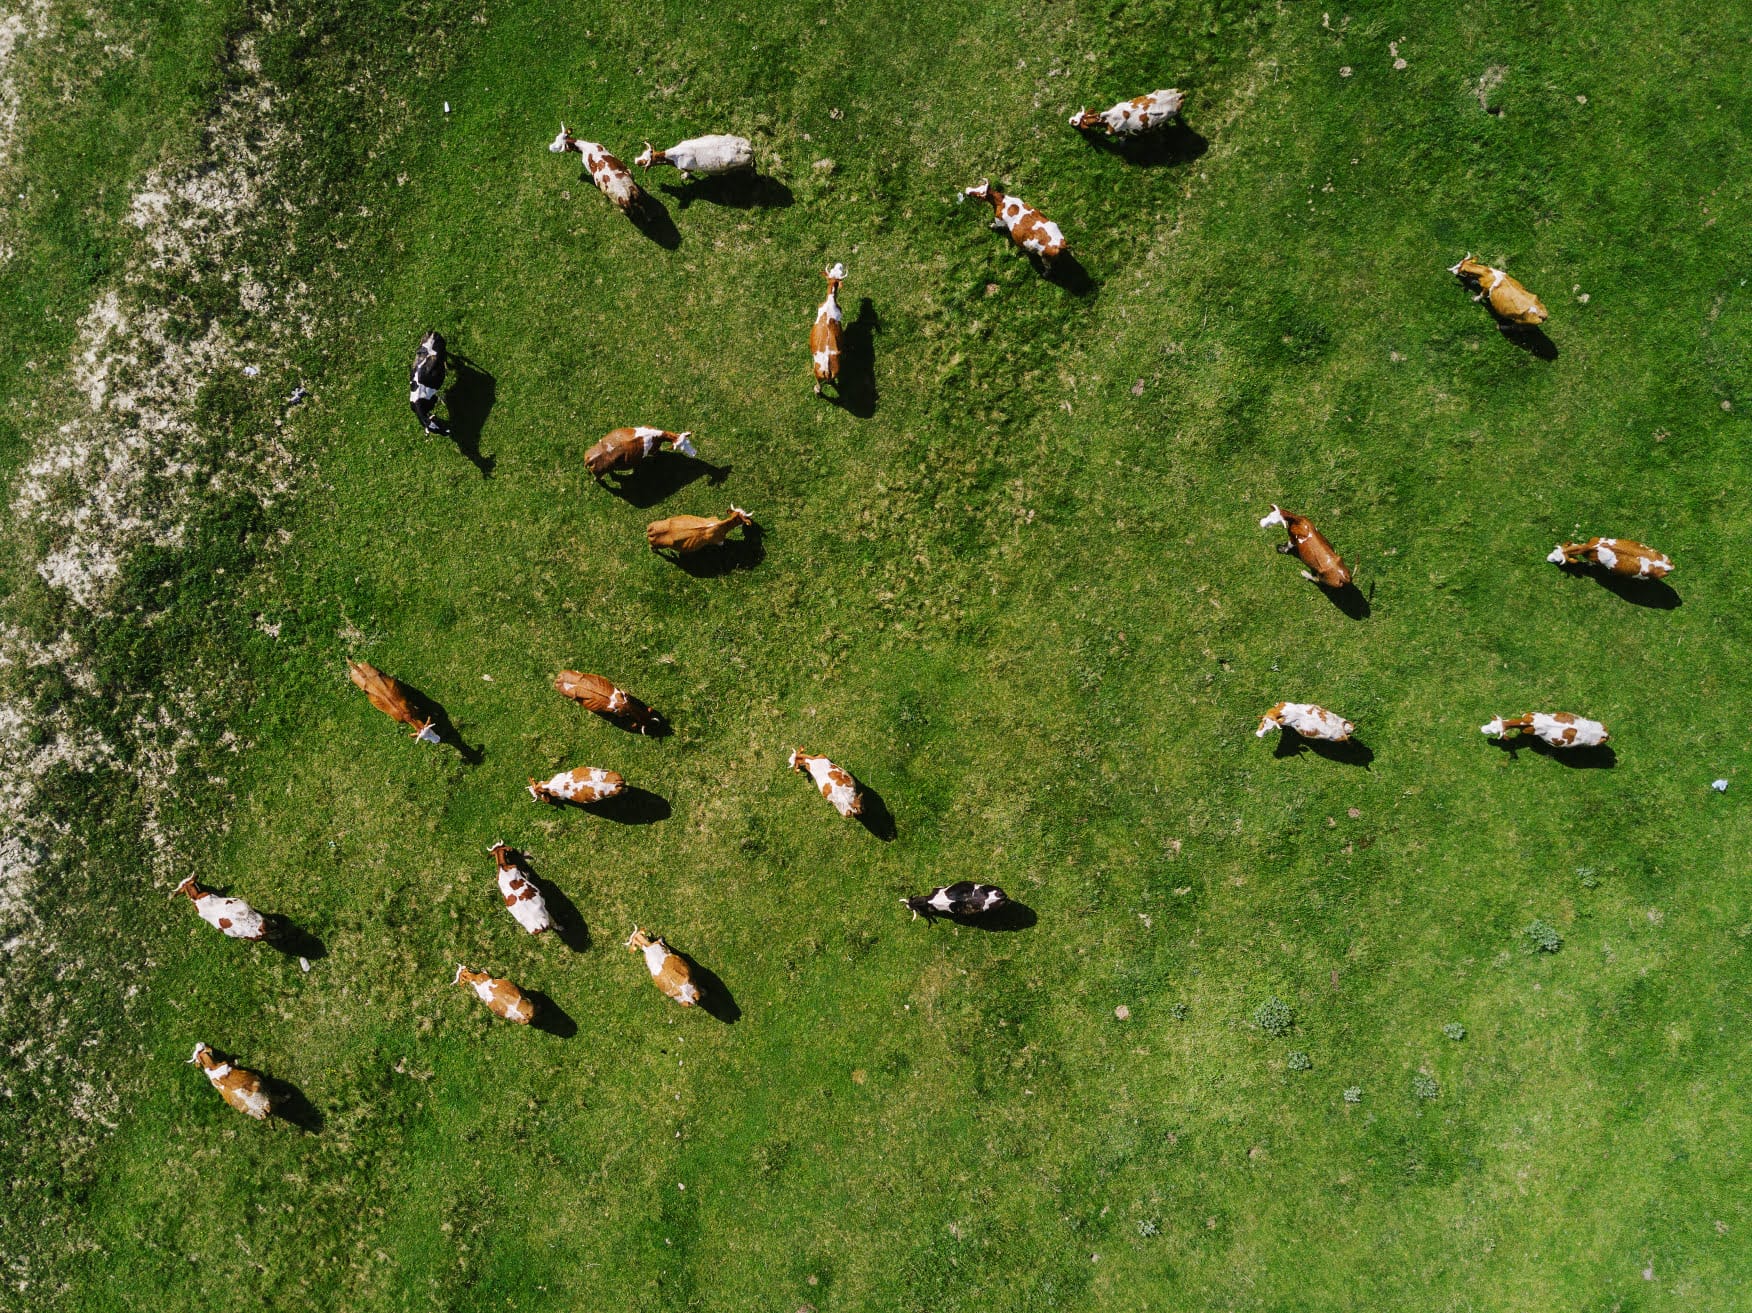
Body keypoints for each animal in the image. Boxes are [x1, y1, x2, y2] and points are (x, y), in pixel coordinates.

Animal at [811, 263, 846, 396]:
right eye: (833, 270)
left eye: (840, 271)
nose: (839, 264)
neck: (830, 301)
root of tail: (826, 368)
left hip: (816, 372)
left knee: (819, 385)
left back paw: (816, 390)